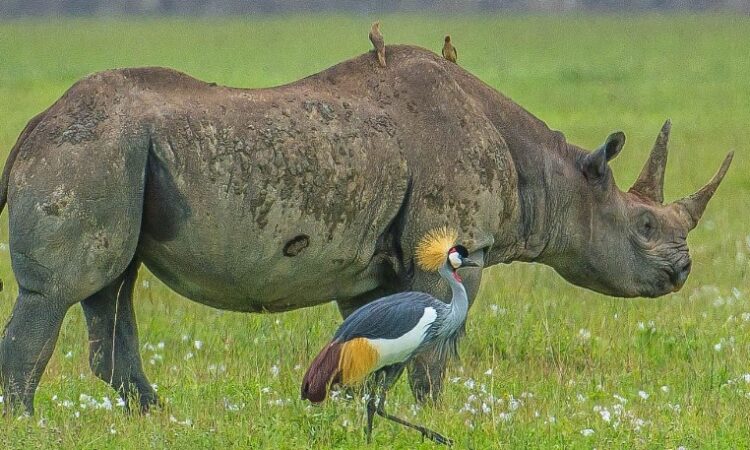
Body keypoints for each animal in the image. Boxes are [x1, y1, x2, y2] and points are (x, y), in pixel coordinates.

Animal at [0, 45, 732, 413]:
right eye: (643, 225)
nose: (681, 271)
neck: (555, 174)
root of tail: (30, 129)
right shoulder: (451, 246)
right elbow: (436, 350)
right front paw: (438, 416)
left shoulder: (373, 264)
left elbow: (380, 345)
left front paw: (372, 412)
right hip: (88, 149)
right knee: (61, 292)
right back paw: (28, 421)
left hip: (114, 157)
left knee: (111, 286)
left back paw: (153, 415)